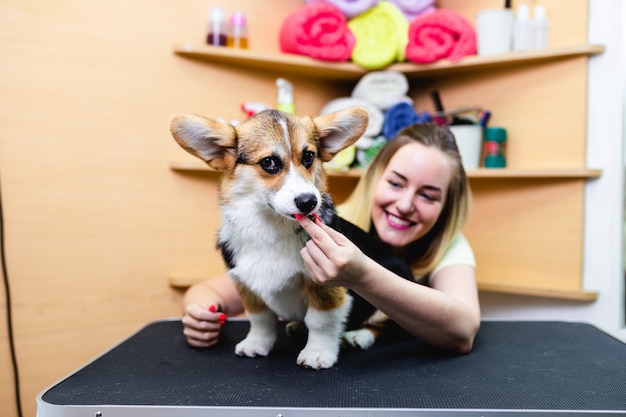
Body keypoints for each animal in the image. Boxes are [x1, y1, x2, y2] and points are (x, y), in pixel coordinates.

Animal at [168, 108, 368, 368]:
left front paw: (318, 352)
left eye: (309, 157)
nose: (309, 202)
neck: (271, 227)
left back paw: (360, 335)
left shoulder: (326, 286)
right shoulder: (246, 284)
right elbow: (260, 320)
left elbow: (320, 321)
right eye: (268, 162)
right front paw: (256, 344)